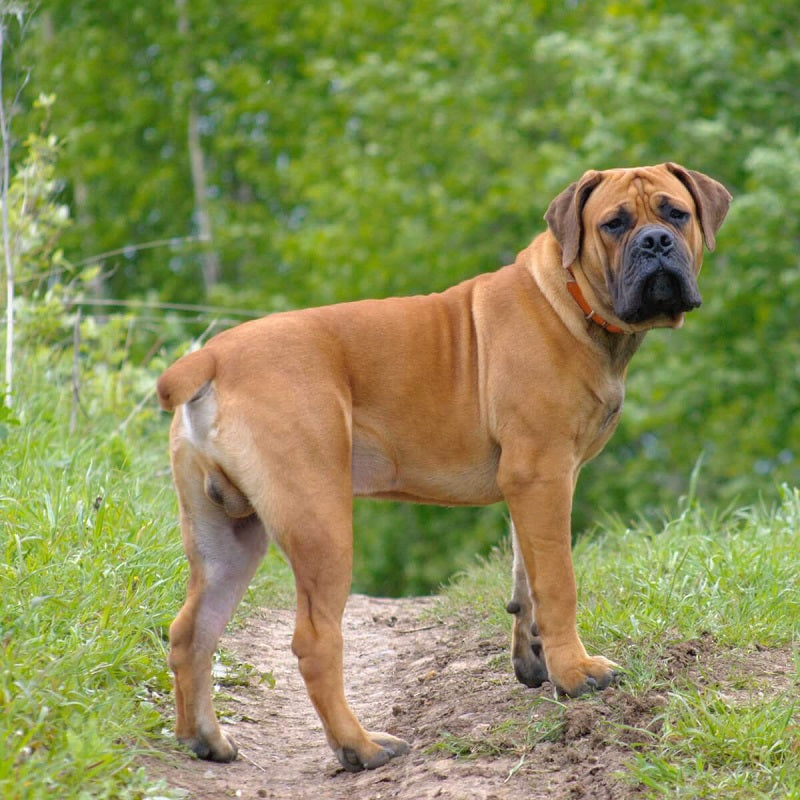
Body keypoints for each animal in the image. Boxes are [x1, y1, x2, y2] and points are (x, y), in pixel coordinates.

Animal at [156, 161, 732, 768]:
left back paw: (205, 739)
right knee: (315, 641)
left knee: (191, 631)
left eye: (676, 213)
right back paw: (360, 746)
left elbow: (525, 575)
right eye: (614, 224)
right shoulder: (544, 472)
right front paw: (575, 673)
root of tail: (211, 357)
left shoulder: (535, 483)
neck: (570, 299)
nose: (656, 242)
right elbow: (558, 582)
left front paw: (534, 659)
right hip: (320, 521)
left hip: (228, 535)